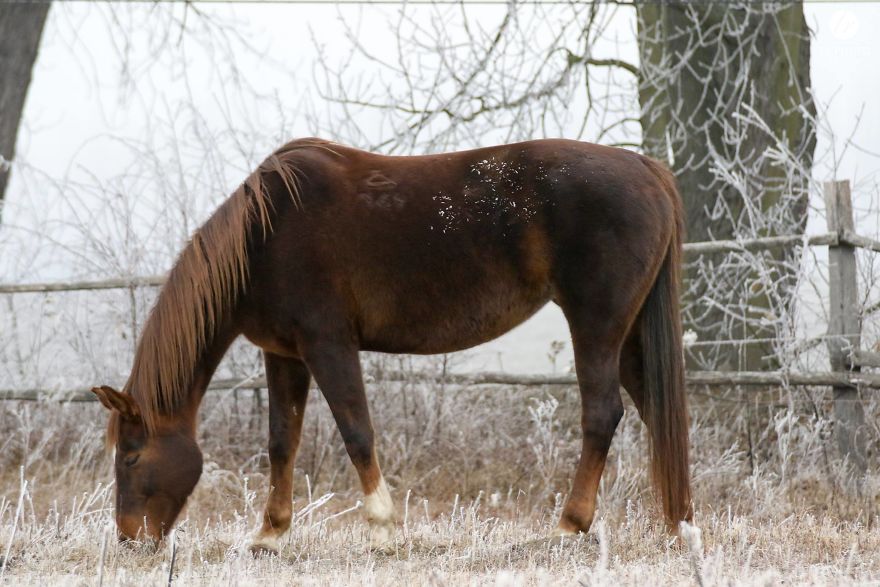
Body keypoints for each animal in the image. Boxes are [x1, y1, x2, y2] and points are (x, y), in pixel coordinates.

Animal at [91, 137, 692, 553]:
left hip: (596, 325)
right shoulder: (284, 354)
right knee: (655, 411)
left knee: (602, 414)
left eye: (131, 455)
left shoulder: (327, 344)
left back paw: (569, 525)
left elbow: (357, 432)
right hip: (628, 336)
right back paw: (679, 524)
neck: (263, 236)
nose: (128, 539)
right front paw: (270, 535)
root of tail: (647, 170)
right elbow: (282, 441)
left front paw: (383, 530)